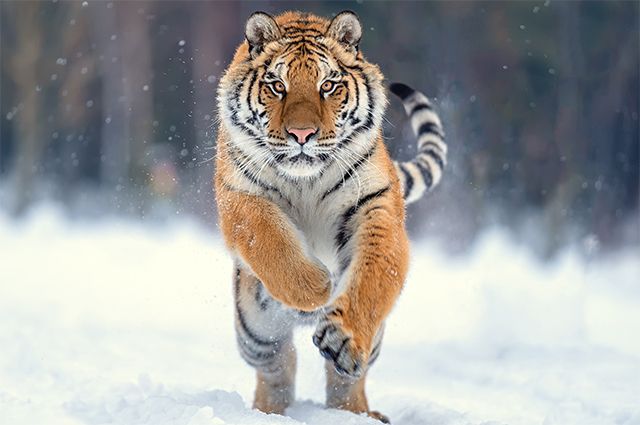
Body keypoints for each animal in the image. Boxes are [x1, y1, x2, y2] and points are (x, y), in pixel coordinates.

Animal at [214, 10, 446, 423]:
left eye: (328, 85)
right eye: (277, 85)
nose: (301, 134)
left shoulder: (376, 206)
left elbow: (373, 276)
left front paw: (343, 336)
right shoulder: (240, 197)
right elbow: (269, 239)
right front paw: (315, 287)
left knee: (345, 379)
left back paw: (357, 412)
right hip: (255, 331)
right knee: (278, 365)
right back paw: (268, 412)